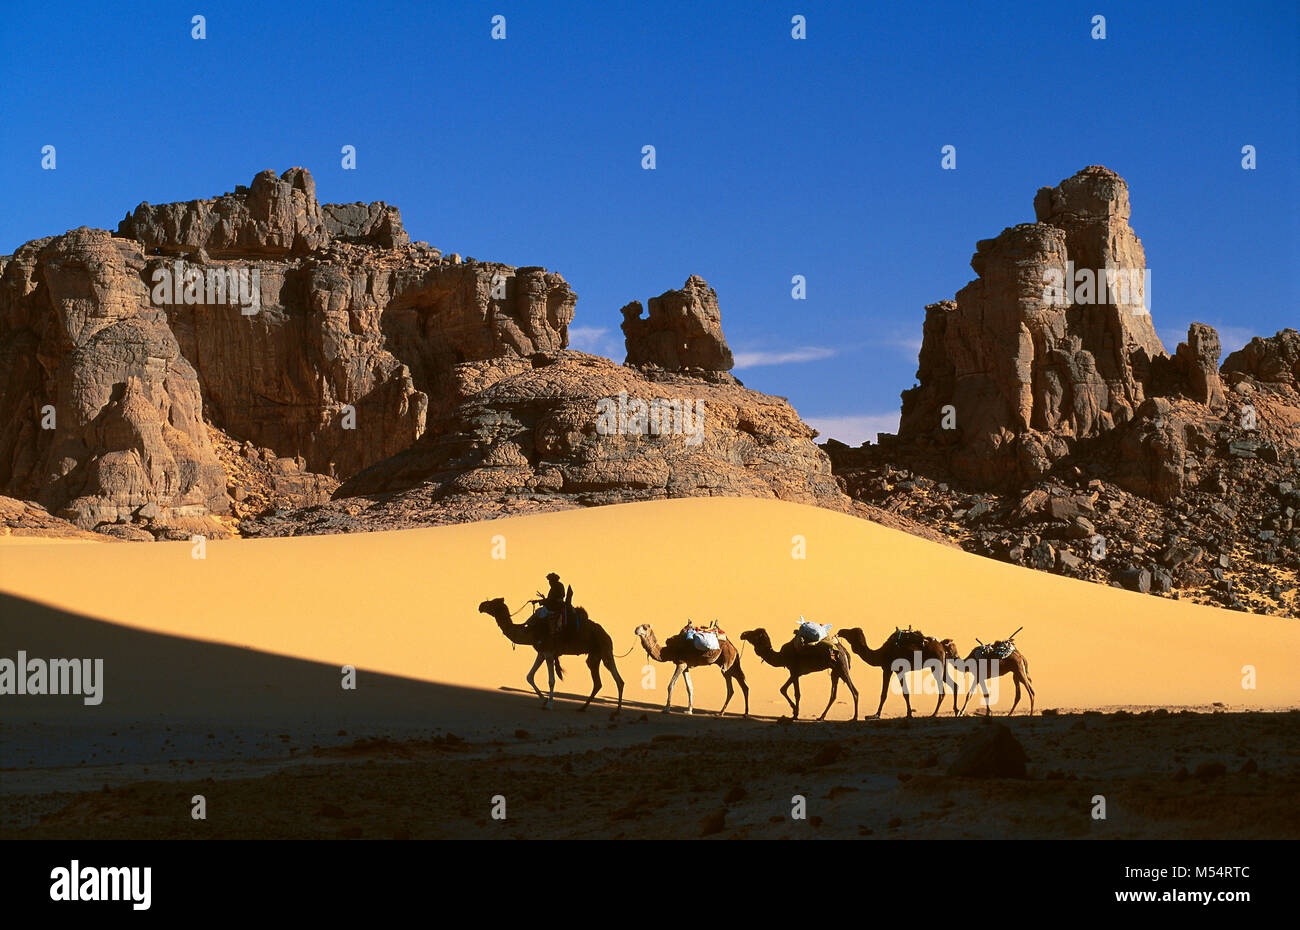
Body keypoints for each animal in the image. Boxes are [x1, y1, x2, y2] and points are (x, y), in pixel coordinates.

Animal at [478, 597, 625, 711]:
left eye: (492, 603)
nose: (481, 606)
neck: (531, 631)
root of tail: (606, 634)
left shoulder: (549, 653)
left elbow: (551, 681)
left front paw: (549, 704)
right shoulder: (542, 653)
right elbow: (529, 676)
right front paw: (544, 700)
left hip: (605, 650)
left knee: (617, 678)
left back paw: (617, 711)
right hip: (594, 655)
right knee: (597, 682)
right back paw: (582, 707)